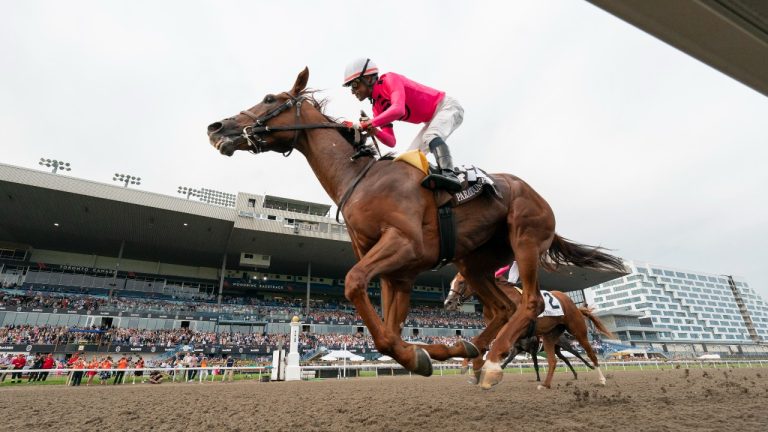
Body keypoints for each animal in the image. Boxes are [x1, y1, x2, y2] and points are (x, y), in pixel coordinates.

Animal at [444, 276, 612, 390]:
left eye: (461, 282)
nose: (448, 303)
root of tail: (573, 304)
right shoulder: (501, 330)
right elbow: (480, 342)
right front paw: (470, 367)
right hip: (551, 337)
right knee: (555, 360)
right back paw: (547, 384)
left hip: (577, 331)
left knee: (587, 353)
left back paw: (600, 377)